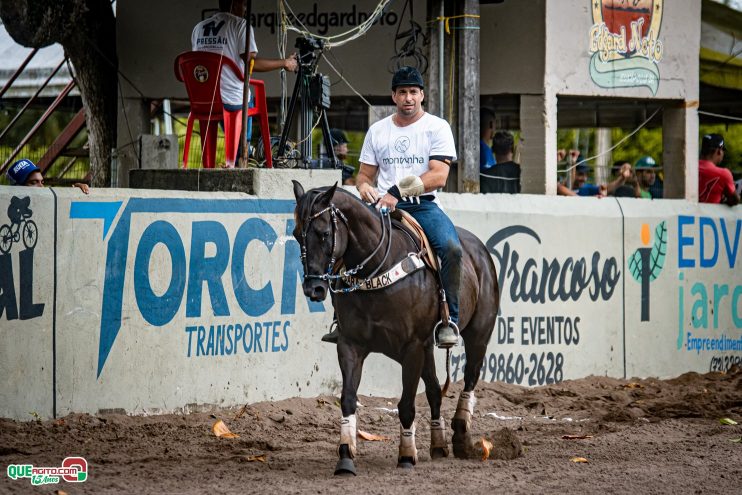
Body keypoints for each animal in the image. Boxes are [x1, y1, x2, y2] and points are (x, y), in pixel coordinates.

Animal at [292, 182, 500, 476]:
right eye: (296, 234)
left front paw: (406, 455)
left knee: (470, 378)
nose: (314, 289)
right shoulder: (350, 345)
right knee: (435, 390)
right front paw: (345, 456)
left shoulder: (411, 348)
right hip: (427, 347)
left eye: (323, 233)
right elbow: (348, 398)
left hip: (478, 334)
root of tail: (479, 250)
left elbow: (406, 405)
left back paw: (461, 436)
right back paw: (439, 445)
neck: (377, 267)